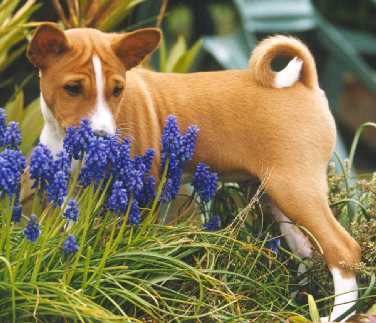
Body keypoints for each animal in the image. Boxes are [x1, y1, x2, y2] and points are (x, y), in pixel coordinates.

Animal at [26, 22, 362, 322]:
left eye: (117, 90)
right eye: (72, 88)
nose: (102, 137)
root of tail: (305, 83)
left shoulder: (141, 192)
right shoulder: (69, 192)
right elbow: (69, 236)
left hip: (295, 187)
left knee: (342, 249)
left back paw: (337, 314)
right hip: (272, 192)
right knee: (305, 248)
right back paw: (296, 303)